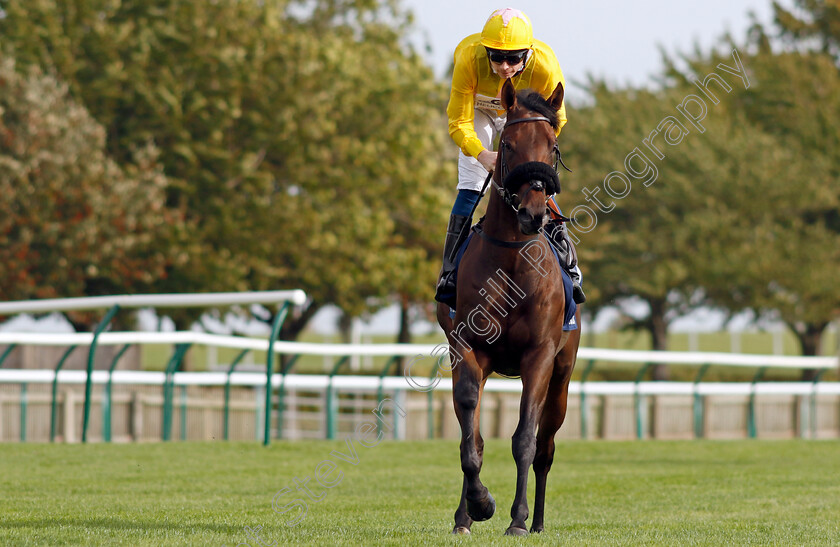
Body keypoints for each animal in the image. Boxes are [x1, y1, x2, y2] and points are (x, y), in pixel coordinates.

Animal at [436, 78, 580, 540]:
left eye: (552, 146)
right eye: (509, 145)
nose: (534, 213)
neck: (513, 259)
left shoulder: (539, 356)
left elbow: (524, 440)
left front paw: (518, 519)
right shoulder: (466, 349)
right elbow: (471, 438)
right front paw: (479, 505)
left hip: (563, 376)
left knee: (546, 447)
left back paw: (537, 522)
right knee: (475, 433)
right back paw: (464, 516)